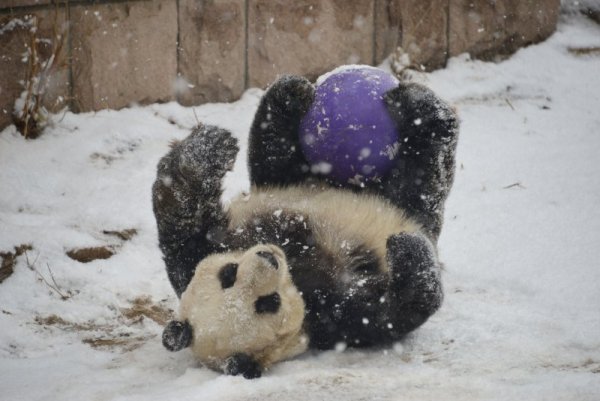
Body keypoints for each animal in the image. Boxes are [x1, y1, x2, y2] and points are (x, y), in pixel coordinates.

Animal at [152, 74, 458, 378]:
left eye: (229, 273)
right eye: (268, 302)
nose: (268, 257)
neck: (295, 270)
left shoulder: (213, 247)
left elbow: (185, 227)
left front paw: (202, 153)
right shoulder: (331, 318)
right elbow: (393, 312)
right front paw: (405, 249)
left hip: (295, 182)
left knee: (275, 154)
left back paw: (290, 94)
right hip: (414, 201)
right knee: (423, 174)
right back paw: (424, 110)